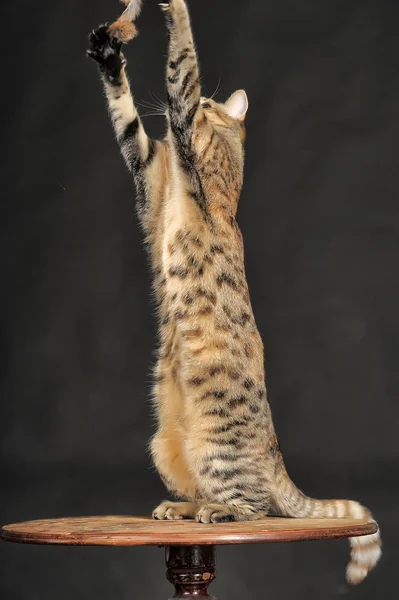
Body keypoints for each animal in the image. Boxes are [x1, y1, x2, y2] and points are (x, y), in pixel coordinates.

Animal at [87, 0, 382, 584]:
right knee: (213, 492)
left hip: (217, 449)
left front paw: (172, 12)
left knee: (256, 505)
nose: (198, 107)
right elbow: (127, 117)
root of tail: (276, 455)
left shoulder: (183, 141)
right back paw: (182, 507)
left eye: (208, 103)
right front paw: (110, 55)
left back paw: (216, 512)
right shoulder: (149, 171)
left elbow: (181, 66)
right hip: (166, 444)